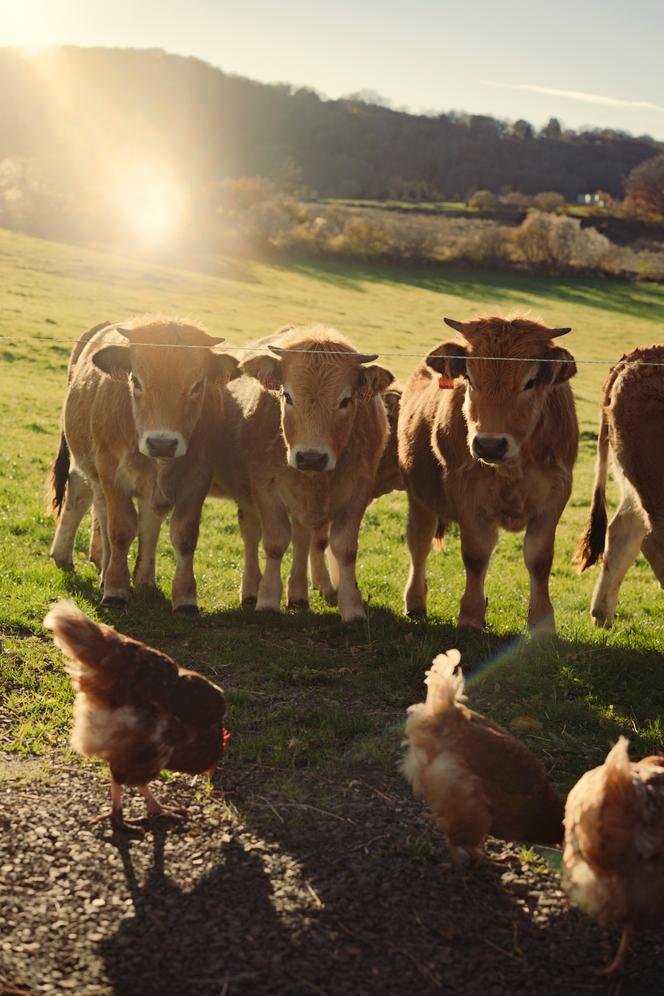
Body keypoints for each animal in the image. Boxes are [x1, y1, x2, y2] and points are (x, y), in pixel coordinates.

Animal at [48, 317, 238, 611]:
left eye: (197, 385)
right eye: (136, 380)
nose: (162, 443)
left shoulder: (198, 477)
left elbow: (184, 535)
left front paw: (185, 598)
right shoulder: (112, 474)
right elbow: (121, 529)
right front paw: (115, 589)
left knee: (143, 520)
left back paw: (142, 579)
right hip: (87, 466)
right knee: (84, 498)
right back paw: (68, 557)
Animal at [232, 325, 394, 622]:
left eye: (346, 400)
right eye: (287, 396)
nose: (311, 457)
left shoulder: (358, 492)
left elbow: (344, 549)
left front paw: (352, 607)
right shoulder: (265, 488)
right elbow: (274, 544)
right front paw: (267, 599)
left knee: (305, 540)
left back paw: (302, 592)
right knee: (253, 535)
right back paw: (252, 589)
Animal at [398, 316, 578, 634]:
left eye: (530, 382)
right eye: (469, 378)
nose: (490, 444)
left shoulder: (556, 493)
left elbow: (539, 559)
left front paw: (542, 624)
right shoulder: (466, 492)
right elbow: (476, 554)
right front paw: (470, 616)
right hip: (420, 497)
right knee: (419, 542)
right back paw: (415, 601)